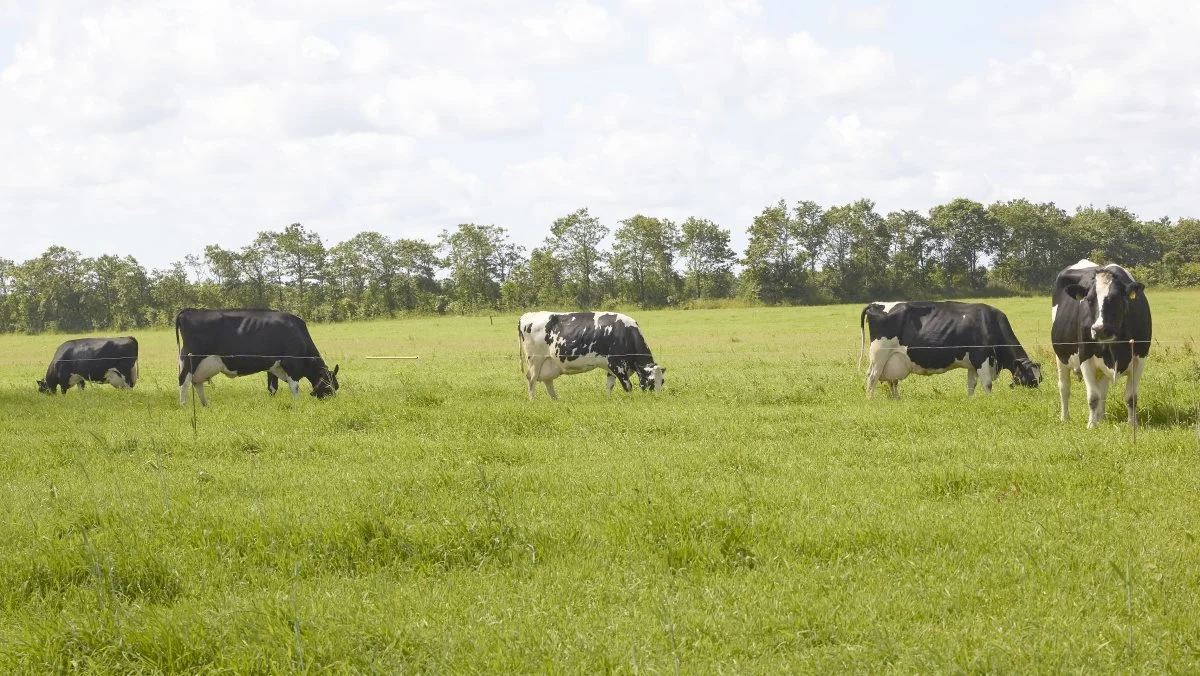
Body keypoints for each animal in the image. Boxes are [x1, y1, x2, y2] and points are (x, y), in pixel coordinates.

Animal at [175, 307, 340, 408]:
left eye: (336, 387)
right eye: (329, 387)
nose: (332, 403)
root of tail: (189, 311)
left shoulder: (273, 365)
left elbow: (272, 387)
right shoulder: (291, 363)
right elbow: (295, 386)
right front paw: (297, 403)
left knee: (197, 382)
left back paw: (205, 405)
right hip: (192, 358)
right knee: (184, 380)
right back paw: (184, 406)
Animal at [516, 309, 667, 398]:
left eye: (662, 381)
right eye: (651, 381)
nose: (657, 398)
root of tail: (526, 315)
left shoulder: (612, 368)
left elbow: (609, 385)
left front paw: (608, 399)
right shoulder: (617, 365)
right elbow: (628, 386)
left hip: (549, 362)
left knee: (548, 381)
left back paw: (555, 400)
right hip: (535, 360)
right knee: (531, 380)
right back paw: (533, 401)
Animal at [859, 300, 1046, 398]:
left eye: (1040, 379)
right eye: (1030, 379)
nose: (1037, 398)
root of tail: (876, 304)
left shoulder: (972, 364)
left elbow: (971, 384)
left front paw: (971, 400)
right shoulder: (982, 358)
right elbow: (987, 384)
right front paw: (990, 400)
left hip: (892, 359)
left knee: (892, 381)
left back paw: (896, 399)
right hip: (879, 354)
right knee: (872, 377)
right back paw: (870, 400)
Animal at [1051, 259, 1152, 427]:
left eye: (1117, 299)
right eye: (1089, 300)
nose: (1099, 329)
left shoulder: (1140, 358)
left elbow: (1131, 397)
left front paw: (1133, 424)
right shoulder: (1085, 357)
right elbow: (1093, 396)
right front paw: (1091, 425)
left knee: (1103, 390)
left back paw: (1102, 418)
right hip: (1061, 356)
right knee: (1064, 387)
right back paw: (1065, 418)